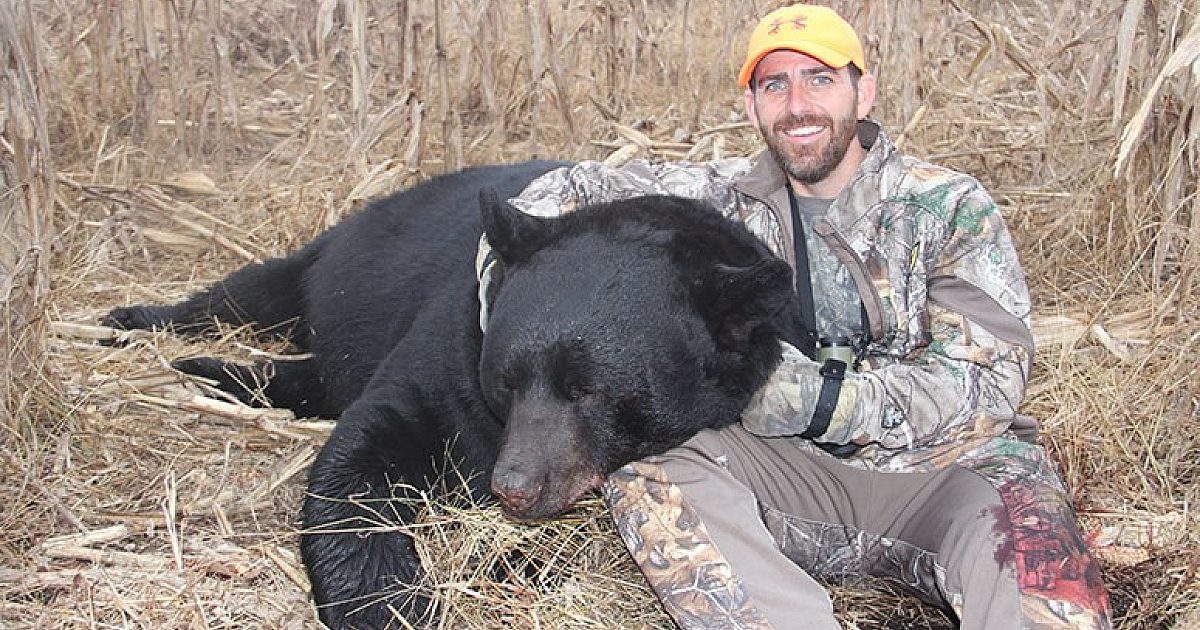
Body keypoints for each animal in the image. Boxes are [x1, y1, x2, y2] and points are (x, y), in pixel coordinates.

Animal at [103, 161, 801, 629]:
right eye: (507, 378)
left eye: (591, 391)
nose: (512, 485)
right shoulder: (450, 343)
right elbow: (364, 451)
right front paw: (387, 604)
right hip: (330, 258)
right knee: (250, 291)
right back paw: (144, 325)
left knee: (308, 375)